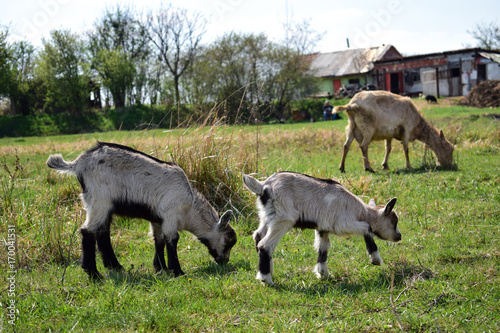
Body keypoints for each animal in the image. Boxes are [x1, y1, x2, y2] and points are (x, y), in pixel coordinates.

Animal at [47, 141, 236, 278]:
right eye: (227, 240)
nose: (224, 261)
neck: (189, 206)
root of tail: (78, 163)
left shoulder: (157, 219)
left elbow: (159, 240)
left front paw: (160, 268)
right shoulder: (171, 214)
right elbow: (172, 240)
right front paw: (177, 271)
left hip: (102, 204)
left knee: (103, 232)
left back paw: (115, 266)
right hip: (99, 199)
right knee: (88, 231)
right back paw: (94, 274)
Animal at [241, 171, 398, 286]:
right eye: (393, 222)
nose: (399, 236)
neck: (361, 212)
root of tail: (264, 186)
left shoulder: (323, 229)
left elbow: (323, 249)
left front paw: (324, 274)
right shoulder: (343, 224)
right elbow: (367, 227)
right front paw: (375, 259)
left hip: (267, 216)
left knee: (258, 236)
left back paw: (268, 270)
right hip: (283, 218)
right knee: (265, 245)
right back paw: (266, 279)